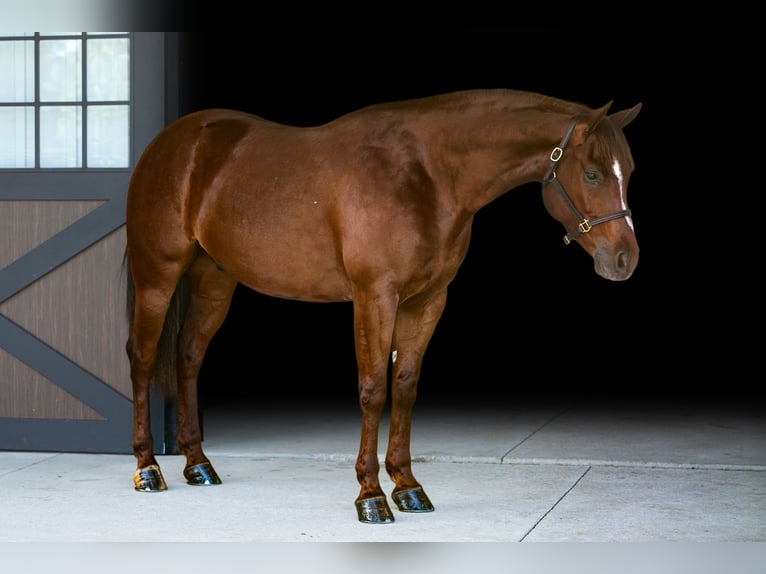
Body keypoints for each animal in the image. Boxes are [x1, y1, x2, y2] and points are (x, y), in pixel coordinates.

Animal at [125, 89, 641, 524]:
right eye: (592, 173)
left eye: (629, 172)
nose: (625, 259)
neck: (426, 175)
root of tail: (170, 142)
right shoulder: (375, 296)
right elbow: (373, 390)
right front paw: (370, 496)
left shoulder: (427, 300)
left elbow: (405, 387)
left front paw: (409, 487)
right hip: (157, 278)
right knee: (143, 358)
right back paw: (148, 469)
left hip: (214, 282)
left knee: (188, 356)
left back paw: (198, 464)